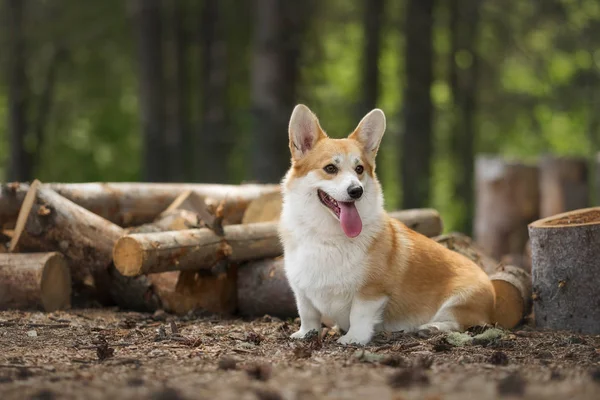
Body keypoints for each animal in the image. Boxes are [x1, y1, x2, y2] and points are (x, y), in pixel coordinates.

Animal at [278, 104, 500, 346]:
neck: (327, 235)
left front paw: (353, 339)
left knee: (459, 323)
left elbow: (359, 315)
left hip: (460, 300)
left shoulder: (371, 291)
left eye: (359, 169)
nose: (356, 191)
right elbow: (307, 313)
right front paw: (305, 334)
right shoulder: (301, 290)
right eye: (330, 168)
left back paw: (431, 327)